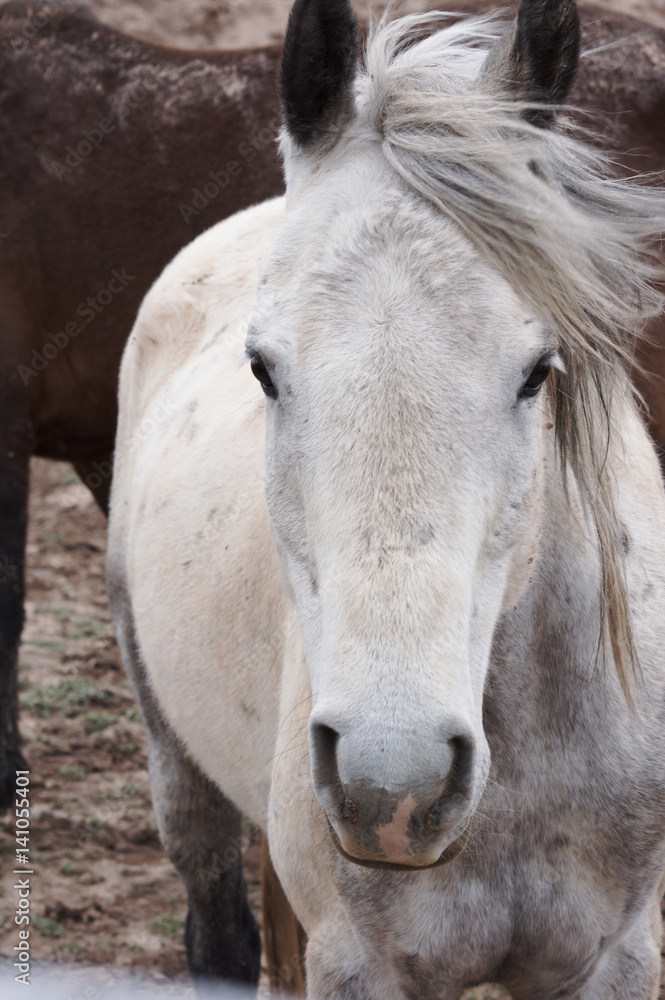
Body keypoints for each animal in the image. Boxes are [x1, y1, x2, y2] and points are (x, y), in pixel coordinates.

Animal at [108, 0, 665, 995]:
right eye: (263, 369)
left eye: (538, 370)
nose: (390, 783)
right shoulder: (359, 962)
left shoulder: (616, 956)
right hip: (172, 751)